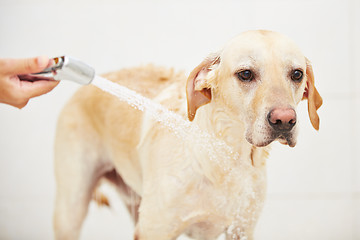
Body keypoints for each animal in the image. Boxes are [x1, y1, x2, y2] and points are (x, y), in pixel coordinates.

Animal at [52, 30, 324, 240]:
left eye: (297, 74)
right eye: (246, 74)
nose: (284, 121)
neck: (225, 157)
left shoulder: (241, 229)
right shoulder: (156, 230)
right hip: (71, 210)